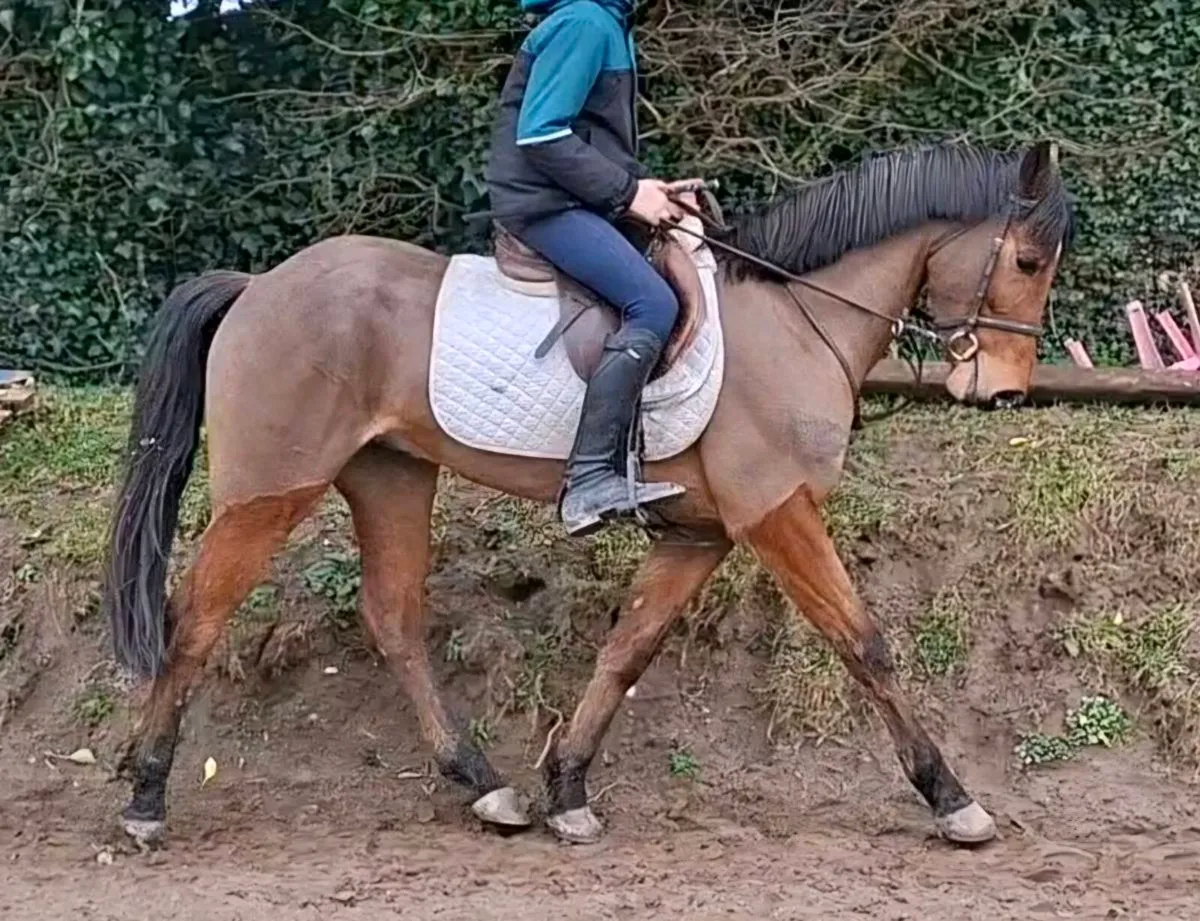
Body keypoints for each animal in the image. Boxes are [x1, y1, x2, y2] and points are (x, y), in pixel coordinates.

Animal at [104, 140, 1073, 848]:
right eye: (1027, 260)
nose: (1005, 392)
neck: (798, 320)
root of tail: (258, 285)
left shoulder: (697, 536)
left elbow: (626, 652)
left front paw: (567, 785)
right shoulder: (776, 512)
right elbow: (864, 644)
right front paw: (952, 798)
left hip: (390, 474)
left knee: (392, 618)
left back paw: (485, 787)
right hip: (272, 488)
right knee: (197, 617)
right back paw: (146, 797)